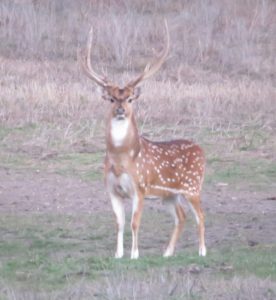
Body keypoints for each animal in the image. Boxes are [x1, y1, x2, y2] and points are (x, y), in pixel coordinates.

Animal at [78, 22, 206, 258]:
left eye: (129, 98)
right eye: (111, 98)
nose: (120, 110)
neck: (121, 159)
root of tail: (201, 150)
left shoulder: (140, 187)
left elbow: (135, 223)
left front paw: (134, 255)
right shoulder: (111, 189)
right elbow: (119, 223)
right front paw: (118, 255)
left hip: (192, 186)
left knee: (200, 215)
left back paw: (202, 251)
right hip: (169, 194)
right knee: (181, 216)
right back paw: (167, 253)